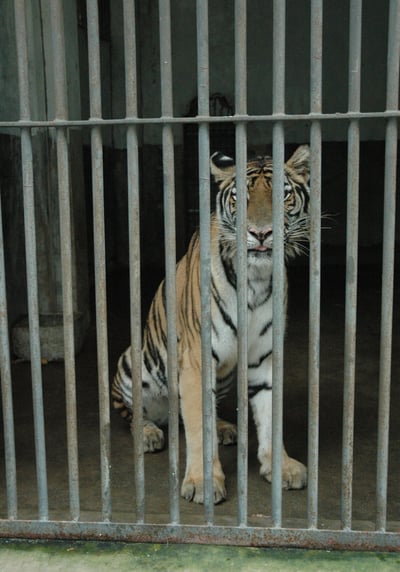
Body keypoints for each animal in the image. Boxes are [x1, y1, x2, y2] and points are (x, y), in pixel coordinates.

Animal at [111, 145, 310, 502]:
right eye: (241, 197)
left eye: (282, 195)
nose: (261, 233)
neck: (255, 279)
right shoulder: (195, 359)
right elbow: (197, 428)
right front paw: (203, 483)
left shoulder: (265, 357)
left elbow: (270, 416)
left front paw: (281, 467)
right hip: (133, 361)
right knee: (135, 414)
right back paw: (148, 433)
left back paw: (223, 428)